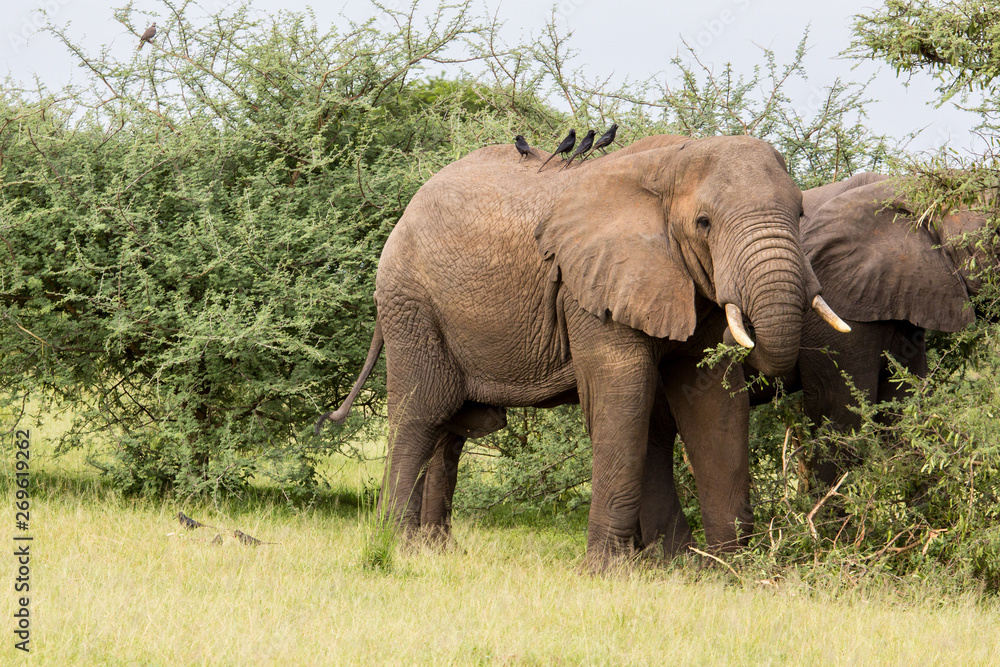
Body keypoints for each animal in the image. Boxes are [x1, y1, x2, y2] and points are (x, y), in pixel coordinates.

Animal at [316, 134, 848, 568]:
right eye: (704, 223)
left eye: (801, 214)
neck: (671, 162)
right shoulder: (586, 286)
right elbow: (623, 395)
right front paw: (610, 572)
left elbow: (714, 403)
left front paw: (724, 571)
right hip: (412, 304)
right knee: (421, 413)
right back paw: (396, 548)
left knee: (452, 428)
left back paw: (435, 551)